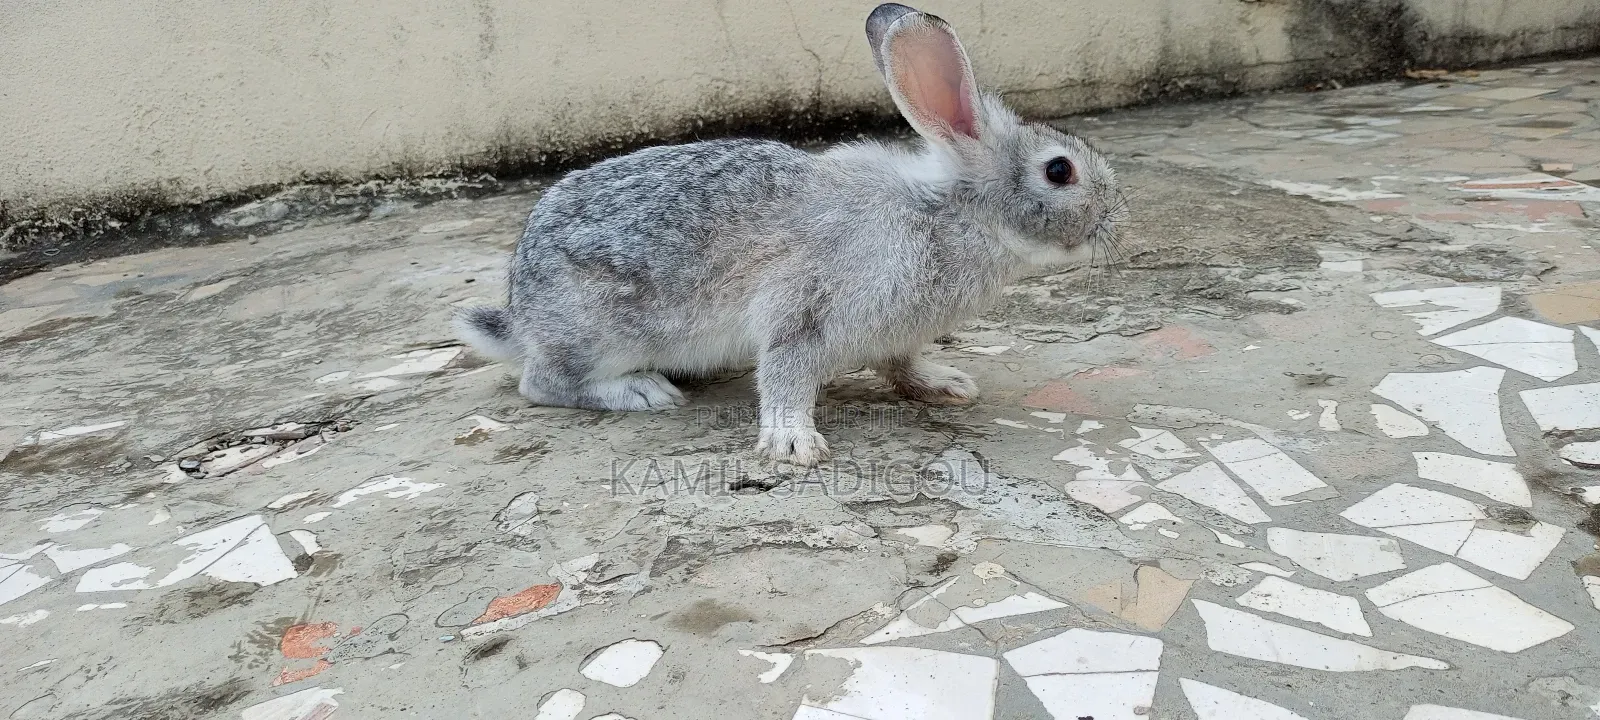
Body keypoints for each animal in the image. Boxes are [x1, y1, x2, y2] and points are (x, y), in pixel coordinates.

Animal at [455, 2, 1127, 466]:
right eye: (1059, 171)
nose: (1118, 217)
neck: (949, 215)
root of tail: (521, 315)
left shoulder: (895, 334)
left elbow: (902, 365)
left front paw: (946, 385)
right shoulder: (804, 309)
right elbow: (785, 373)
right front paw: (794, 444)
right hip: (596, 336)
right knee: (542, 383)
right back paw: (642, 393)